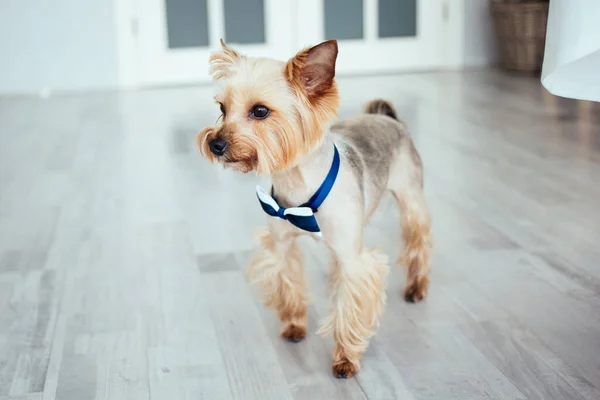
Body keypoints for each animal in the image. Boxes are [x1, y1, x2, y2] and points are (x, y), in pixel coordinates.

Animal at [197, 38, 432, 378]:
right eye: (222, 109)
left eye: (260, 111)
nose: (215, 144)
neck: (299, 189)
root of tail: (387, 117)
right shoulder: (282, 243)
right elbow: (289, 283)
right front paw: (294, 327)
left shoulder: (355, 260)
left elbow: (349, 305)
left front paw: (346, 359)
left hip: (410, 197)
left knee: (418, 238)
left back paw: (416, 286)